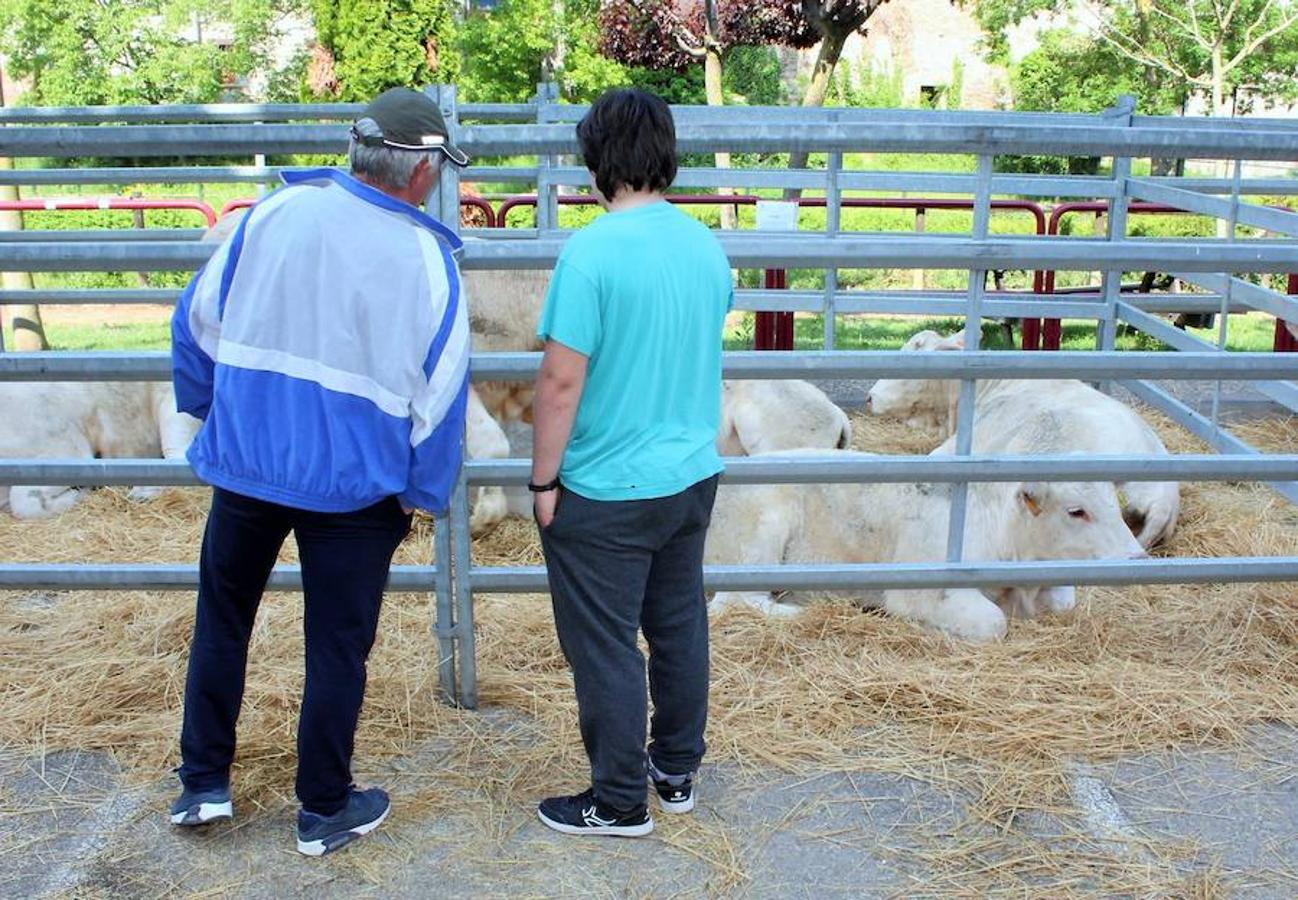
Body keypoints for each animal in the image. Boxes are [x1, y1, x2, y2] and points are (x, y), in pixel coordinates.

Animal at [700, 449, 1147, 638]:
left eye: (1114, 503)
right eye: (1076, 511)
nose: (1136, 557)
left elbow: (1063, 601)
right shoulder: (920, 590)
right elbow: (993, 624)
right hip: (759, 536)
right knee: (737, 604)